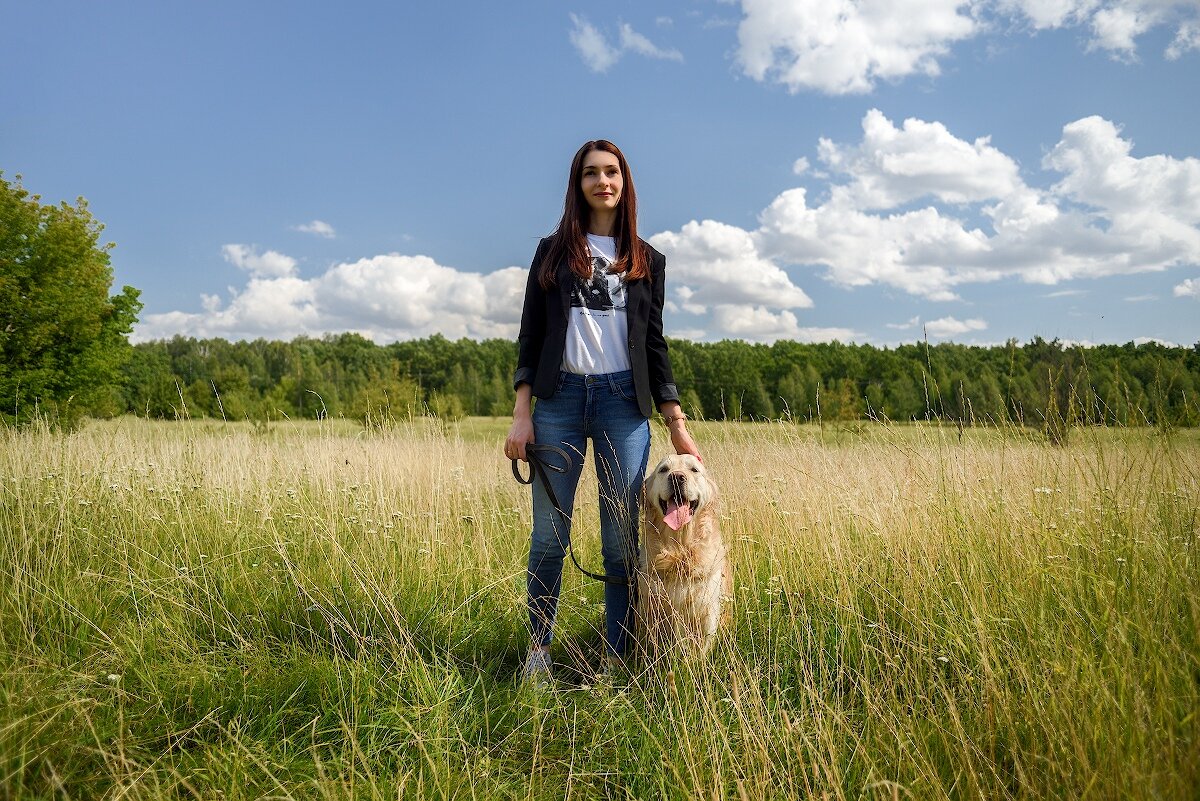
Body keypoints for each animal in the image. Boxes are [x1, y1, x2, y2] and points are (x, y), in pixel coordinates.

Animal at [638, 453, 729, 652]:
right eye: (664, 469)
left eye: (694, 469)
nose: (677, 477)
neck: (679, 550)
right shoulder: (651, 607)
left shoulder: (707, 611)